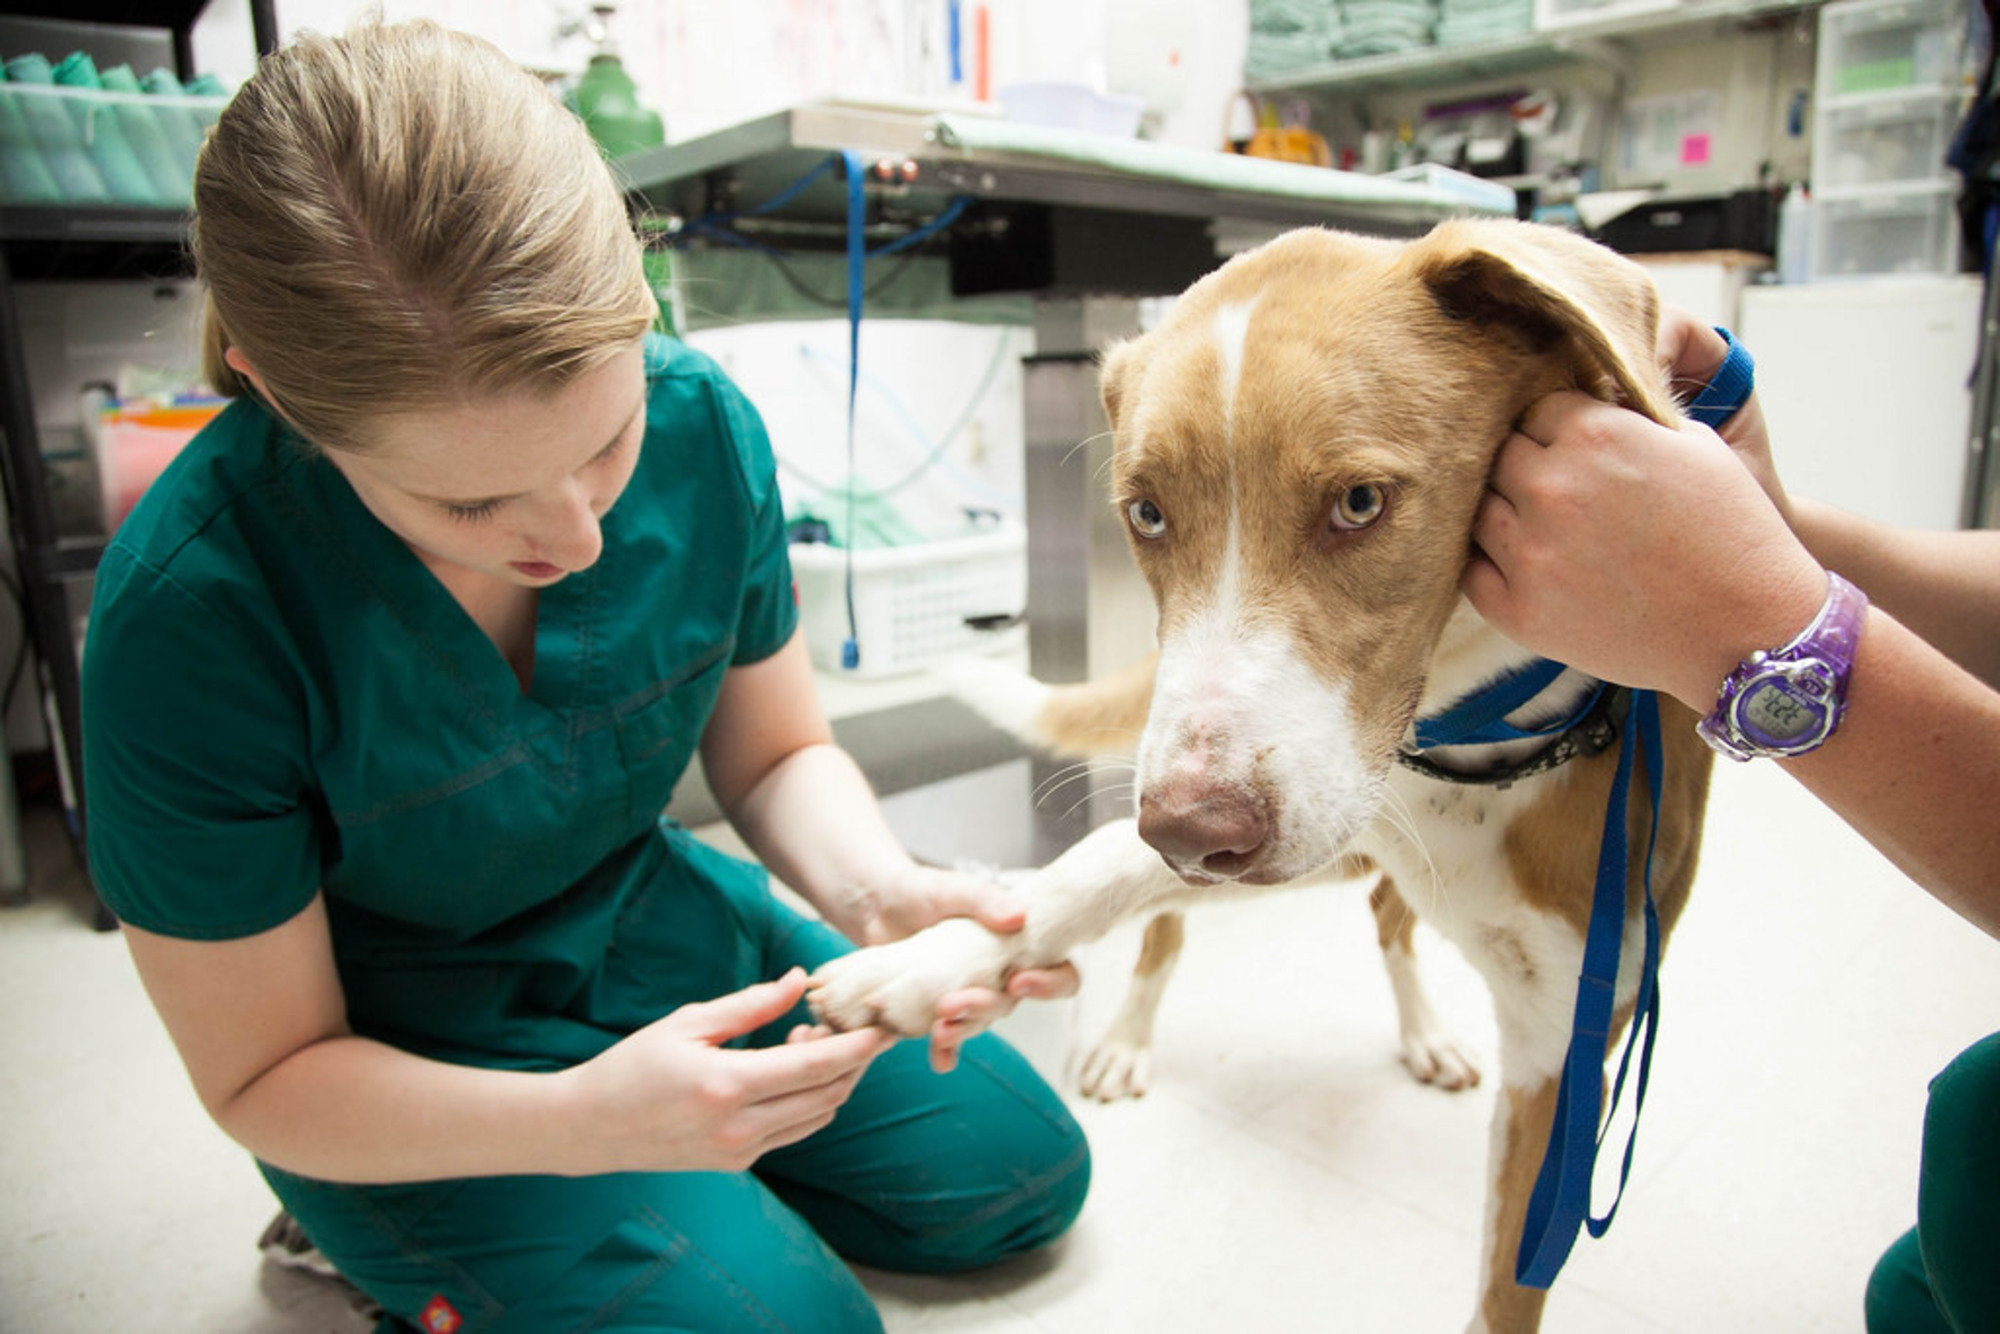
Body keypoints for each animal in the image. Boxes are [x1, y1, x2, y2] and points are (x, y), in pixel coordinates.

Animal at [812, 217, 1720, 1328]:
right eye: (1145, 514)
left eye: (1360, 502)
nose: (1192, 834)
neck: (1469, 745)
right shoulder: (1303, 816)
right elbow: (1090, 867)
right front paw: (928, 960)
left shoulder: (1565, 1043)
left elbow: (1505, 1291)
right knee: (1180, 921)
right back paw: (1126, 1035)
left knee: (1384, 921)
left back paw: (1423, 1031)